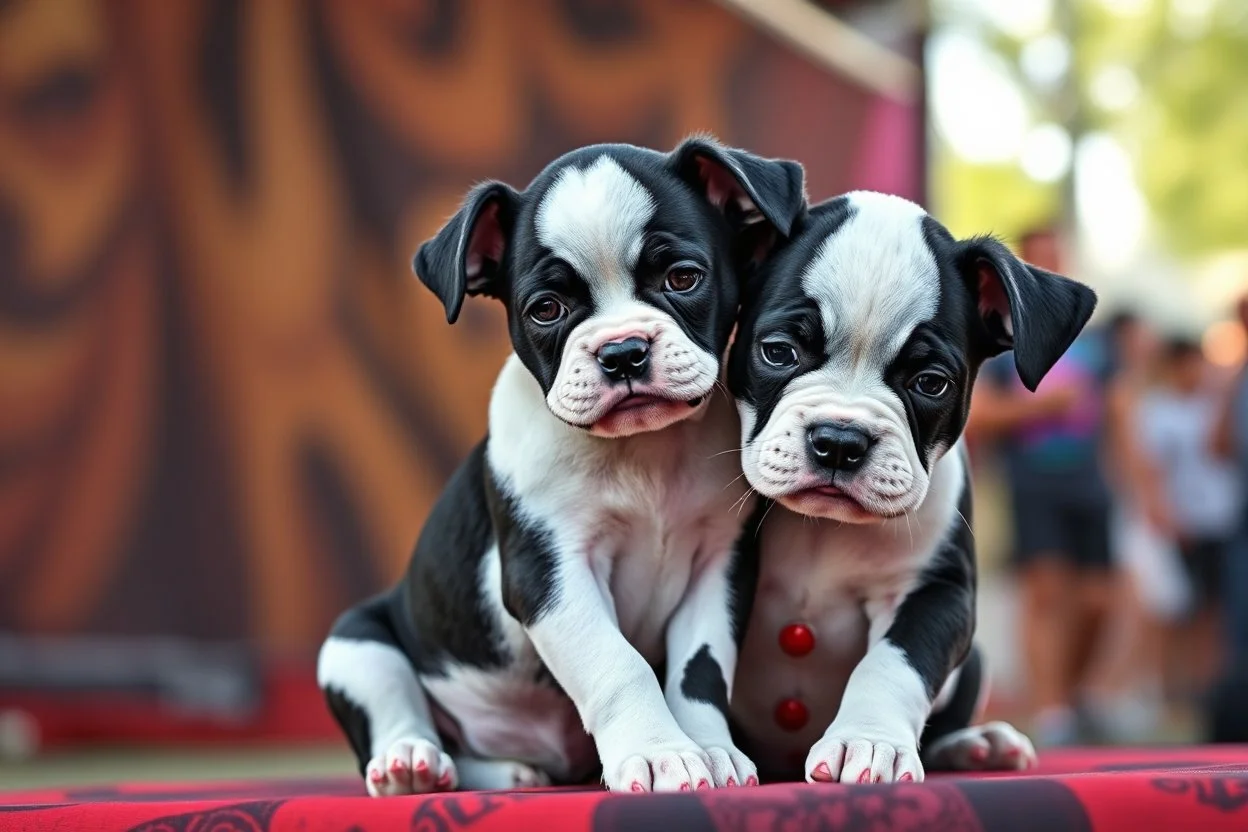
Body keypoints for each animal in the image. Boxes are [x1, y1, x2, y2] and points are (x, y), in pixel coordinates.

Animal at [319, 139, 808, 798]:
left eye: (683, 278)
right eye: (546, 309)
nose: (622, 351)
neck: (641, 452)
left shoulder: (719, 567)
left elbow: (698, 675)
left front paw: (710, 750)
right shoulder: (551, 574)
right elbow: (618, 663)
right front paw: (658, 753)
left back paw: (504, 771)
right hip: (355, 645)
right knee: (397, 712)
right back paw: (413, 764)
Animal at [728, 195, 1098, 788]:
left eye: (931, 383)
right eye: (778, 352)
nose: (840, 442)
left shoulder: (936, 592)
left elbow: (893, 664)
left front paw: (867, 741)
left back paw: (976, 745)